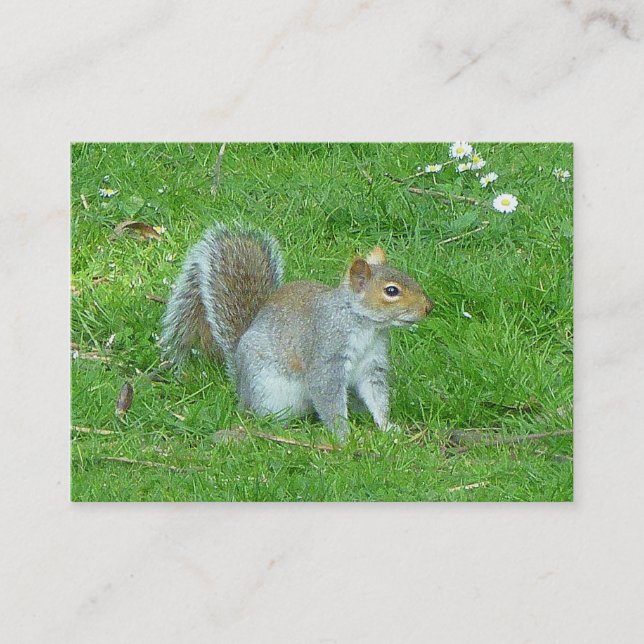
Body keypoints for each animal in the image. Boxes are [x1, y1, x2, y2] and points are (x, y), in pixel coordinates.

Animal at [161, 223, 433, 441]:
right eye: (391, 291)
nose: (428, 307)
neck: (365, 326)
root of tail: (240, 385)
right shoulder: (327, 352)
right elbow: (328, 395)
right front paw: (345, 437)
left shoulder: (372, 364)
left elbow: (377, 396)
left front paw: (388, 427)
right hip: (267, 391)